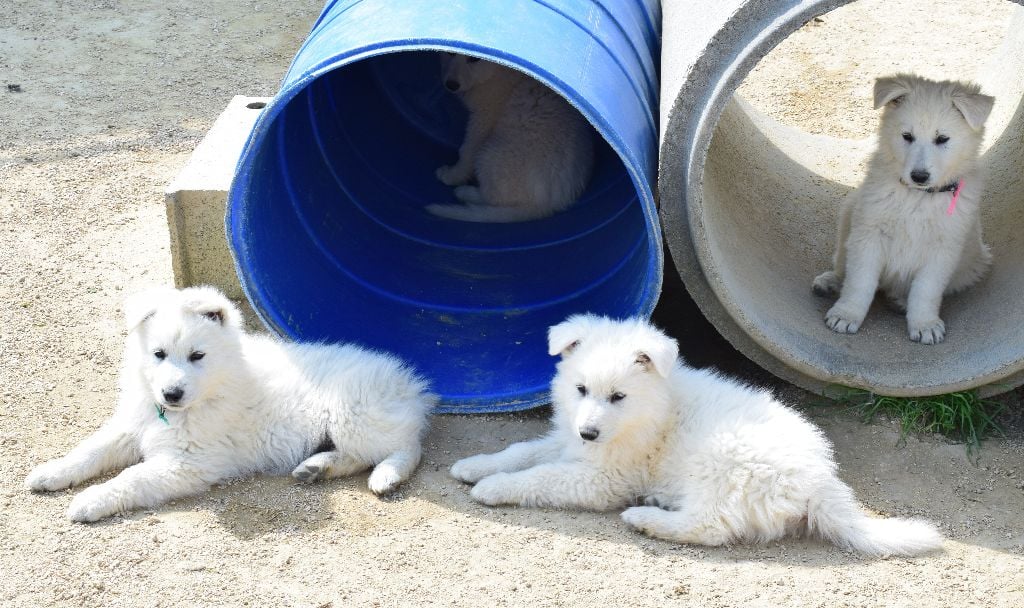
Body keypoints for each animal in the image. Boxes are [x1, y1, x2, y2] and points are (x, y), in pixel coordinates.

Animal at [24, 286, 432, 517]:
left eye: (197, 356)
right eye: (158, 354)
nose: (171, 394)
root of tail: (407, 381)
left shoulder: (189, 463)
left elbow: (132, 476)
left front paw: (90, 500)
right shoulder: (132, 426)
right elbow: (90, 449)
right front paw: (51, 472)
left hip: (353, 416)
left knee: (407, 446)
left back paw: (386, 476)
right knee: (360, 455)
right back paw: (317, 468)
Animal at [428, 52, 598, 222]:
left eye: (474, 59)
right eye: (450, 53)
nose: (451, 85)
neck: (495, 72)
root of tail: (548, 206)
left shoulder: (483, 118)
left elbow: (466, 151)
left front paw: (452, 175)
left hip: (490, 154)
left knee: (492, 198)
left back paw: (464, 192)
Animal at [452, 315, 946, 556]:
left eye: (618, 396)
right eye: (580, 390)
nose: (589, 432)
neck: (651, 408)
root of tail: (821, 481)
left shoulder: (604, 479)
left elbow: (542, 477)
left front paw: (493, 487)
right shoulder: (571, 441)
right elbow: (524, 450)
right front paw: (475, 465)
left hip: (723, 460)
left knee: (710, 527)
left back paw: (646, 518)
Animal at [811, 73, 995, 343]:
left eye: (942, 139)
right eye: (907, 136)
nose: (919, 176)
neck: (917, 197)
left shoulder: (943, 249)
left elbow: (926, 291)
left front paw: (925, 324)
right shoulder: (868, 234)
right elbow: (859, 282)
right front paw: (846, 314)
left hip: (972, 265)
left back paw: (900, 301)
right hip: (849, 214)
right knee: (842, 266)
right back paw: (829, 281)